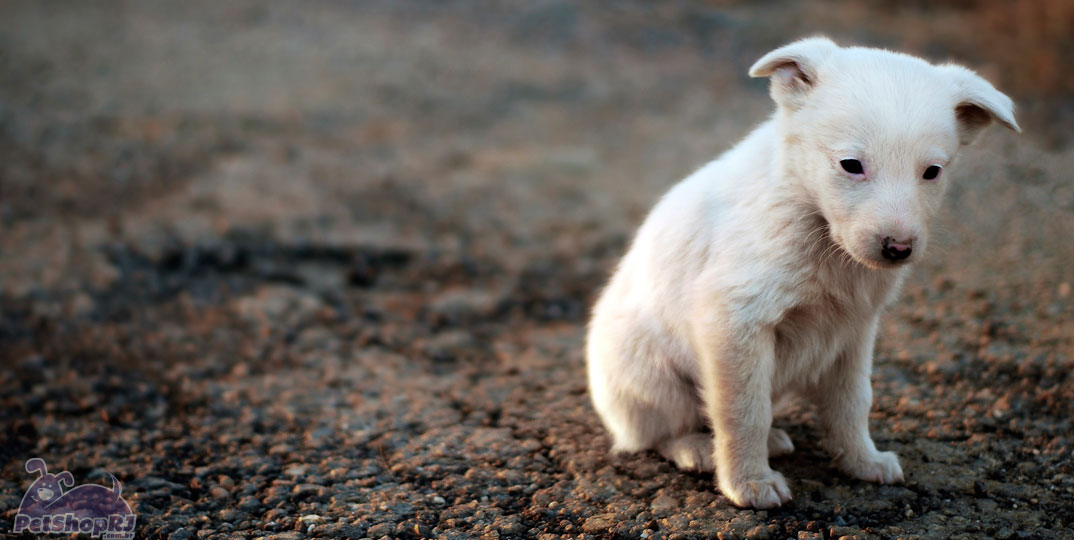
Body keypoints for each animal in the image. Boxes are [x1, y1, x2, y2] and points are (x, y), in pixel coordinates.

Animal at [588, 35, 1013, 508]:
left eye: (932, 172)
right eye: (851, 165)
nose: (898, 249)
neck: (817, 225)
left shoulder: (855, 331)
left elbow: (852, 403)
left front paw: (862, 461)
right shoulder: (735, 321)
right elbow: (743, 412)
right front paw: (749, 483)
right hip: (650, 375)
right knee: (658, 432)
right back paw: (696, 448)